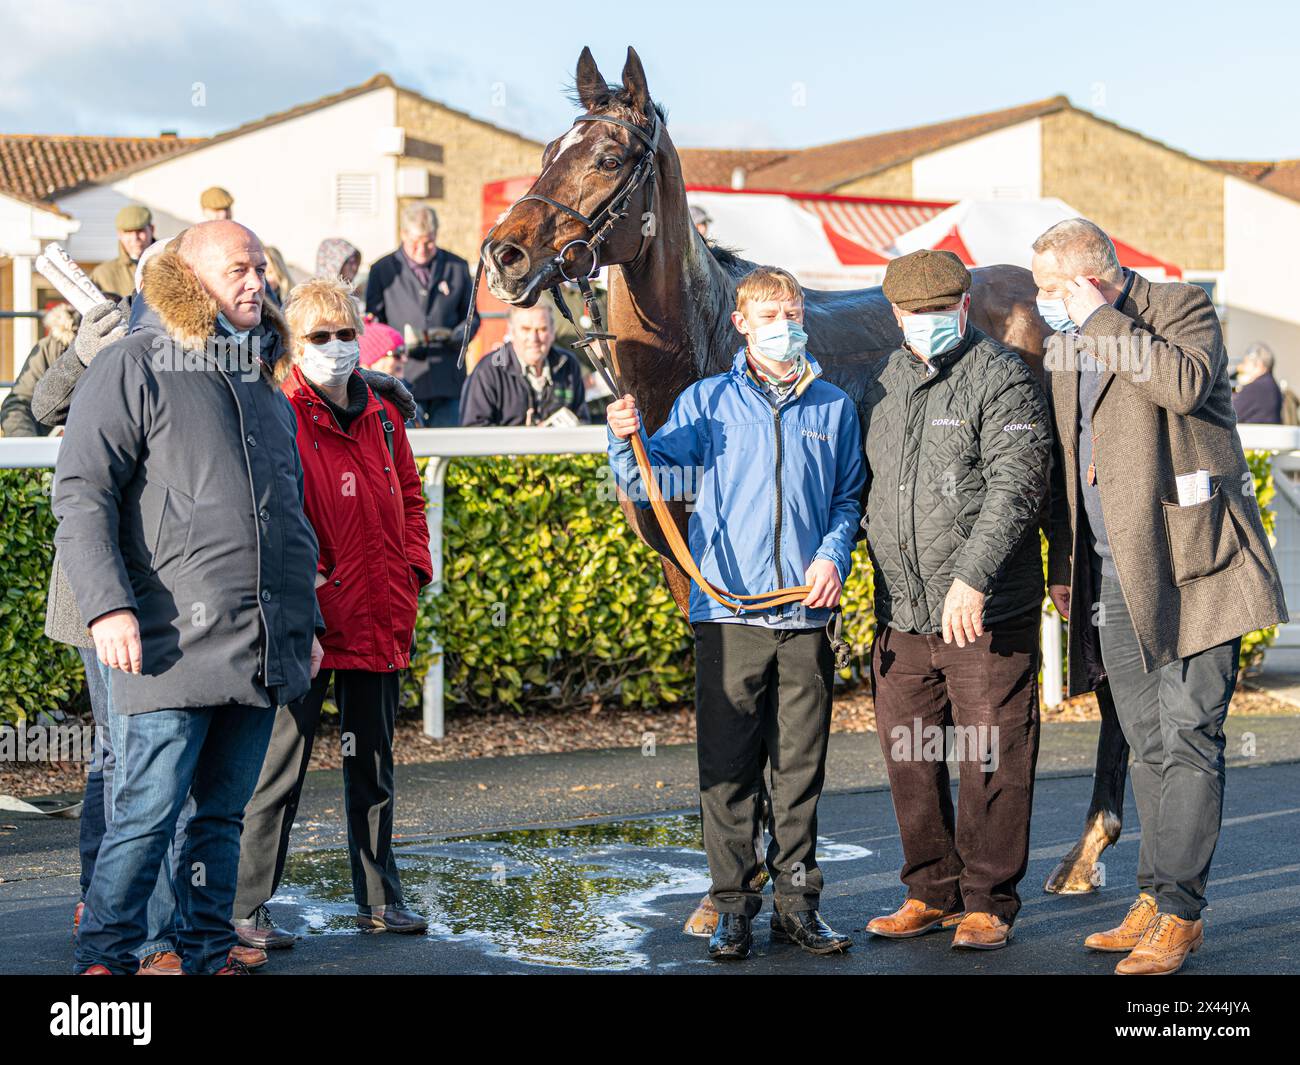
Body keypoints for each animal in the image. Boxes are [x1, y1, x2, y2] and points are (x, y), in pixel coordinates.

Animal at [478, 43, 1128, 925]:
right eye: (550, 149)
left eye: (608, 157)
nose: (503, 255)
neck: (712, 352)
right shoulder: (688, 566)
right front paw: (732, 890)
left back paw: (1086, 849)